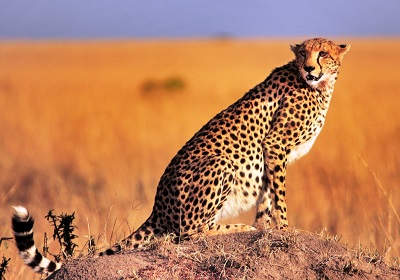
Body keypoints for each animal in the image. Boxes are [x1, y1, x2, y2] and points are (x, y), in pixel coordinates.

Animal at [12, 37, 350, 276]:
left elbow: (267, 197)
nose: (309, 68)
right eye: (303, 55)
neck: (319, 86)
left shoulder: (271, 154)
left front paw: (268, 229)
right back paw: (236, 228)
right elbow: (279, 196)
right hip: (220, 164)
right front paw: (285, 228)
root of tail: (157, 207)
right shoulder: (275, 144)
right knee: (189, 233)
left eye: (323, 54)